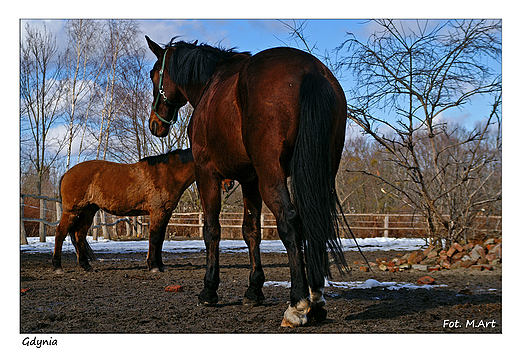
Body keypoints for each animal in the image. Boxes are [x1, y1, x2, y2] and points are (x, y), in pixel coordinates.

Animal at [52, 148, 195, 276]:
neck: (167, 173)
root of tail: (66, 174)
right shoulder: (157, 212)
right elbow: (154, 238)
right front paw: (154, 266)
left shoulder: (166, 213)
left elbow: (160, 239)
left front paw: (161, 266)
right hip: (72, 211)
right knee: (60, 232)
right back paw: (57, 267)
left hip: (88, 210)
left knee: (79, 234)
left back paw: (86, 266)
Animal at [146, 36, 348, 328]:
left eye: (153, 75)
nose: (155, 124)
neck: (210, 85)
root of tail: (311, 70)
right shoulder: (250, 180)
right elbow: (251, 231)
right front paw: (254, 290)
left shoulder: (206, 173)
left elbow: (212, 230)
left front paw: (209, 290)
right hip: (319, 172)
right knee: (316, 223)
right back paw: (317, 301)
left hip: (271, 175)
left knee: (290, 222)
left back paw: (297, 305)